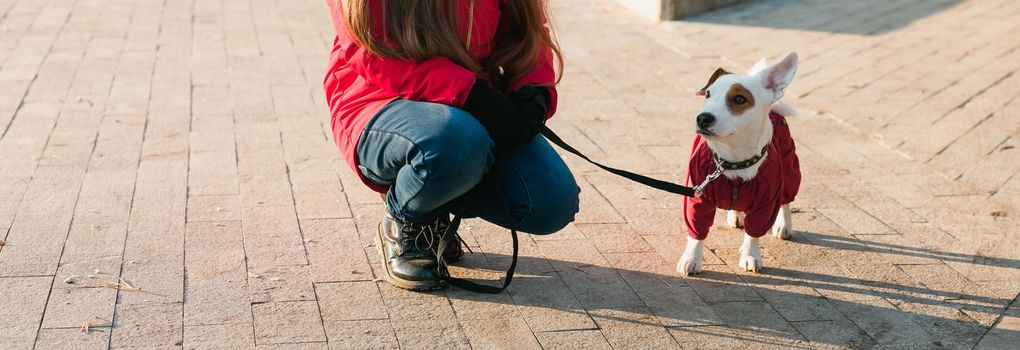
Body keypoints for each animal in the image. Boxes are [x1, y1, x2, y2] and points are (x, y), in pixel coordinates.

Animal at [677, 52, 803, 277]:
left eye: (739, 99)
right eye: (708, 94)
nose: (703, 118)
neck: (732, 162)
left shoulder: (766, 202)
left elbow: (754, 233)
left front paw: (750, 255)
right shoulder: (697, 196)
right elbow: (696, 230)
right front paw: (691, 258)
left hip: (790, 168)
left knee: (787, 200)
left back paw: (783, 225)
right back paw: (735, 214)